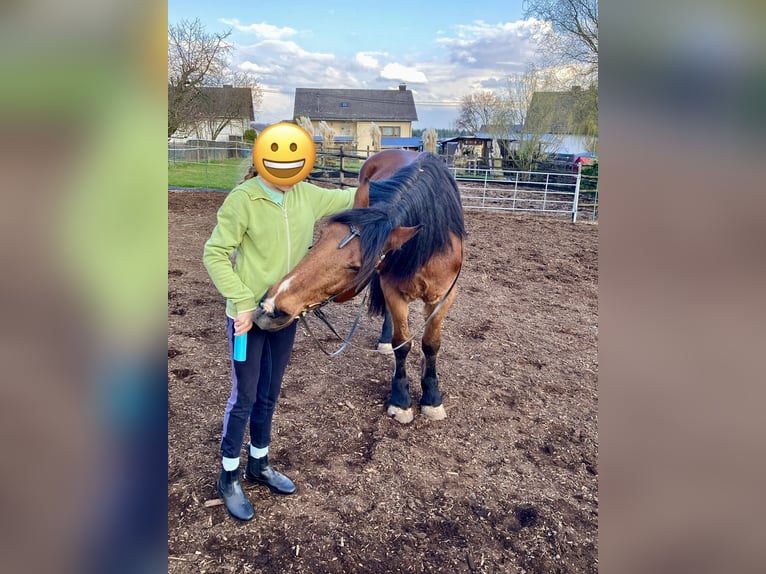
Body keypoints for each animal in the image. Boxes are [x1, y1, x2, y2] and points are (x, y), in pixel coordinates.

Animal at [253, 150, 466, 424]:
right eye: (321, 238)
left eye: (355, 267)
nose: (270, 307)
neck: (429, 244)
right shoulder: (393, 289)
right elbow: (403, 343)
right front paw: (400, 400)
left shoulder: (445, 296)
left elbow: (431, 344)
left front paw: (432, 397)